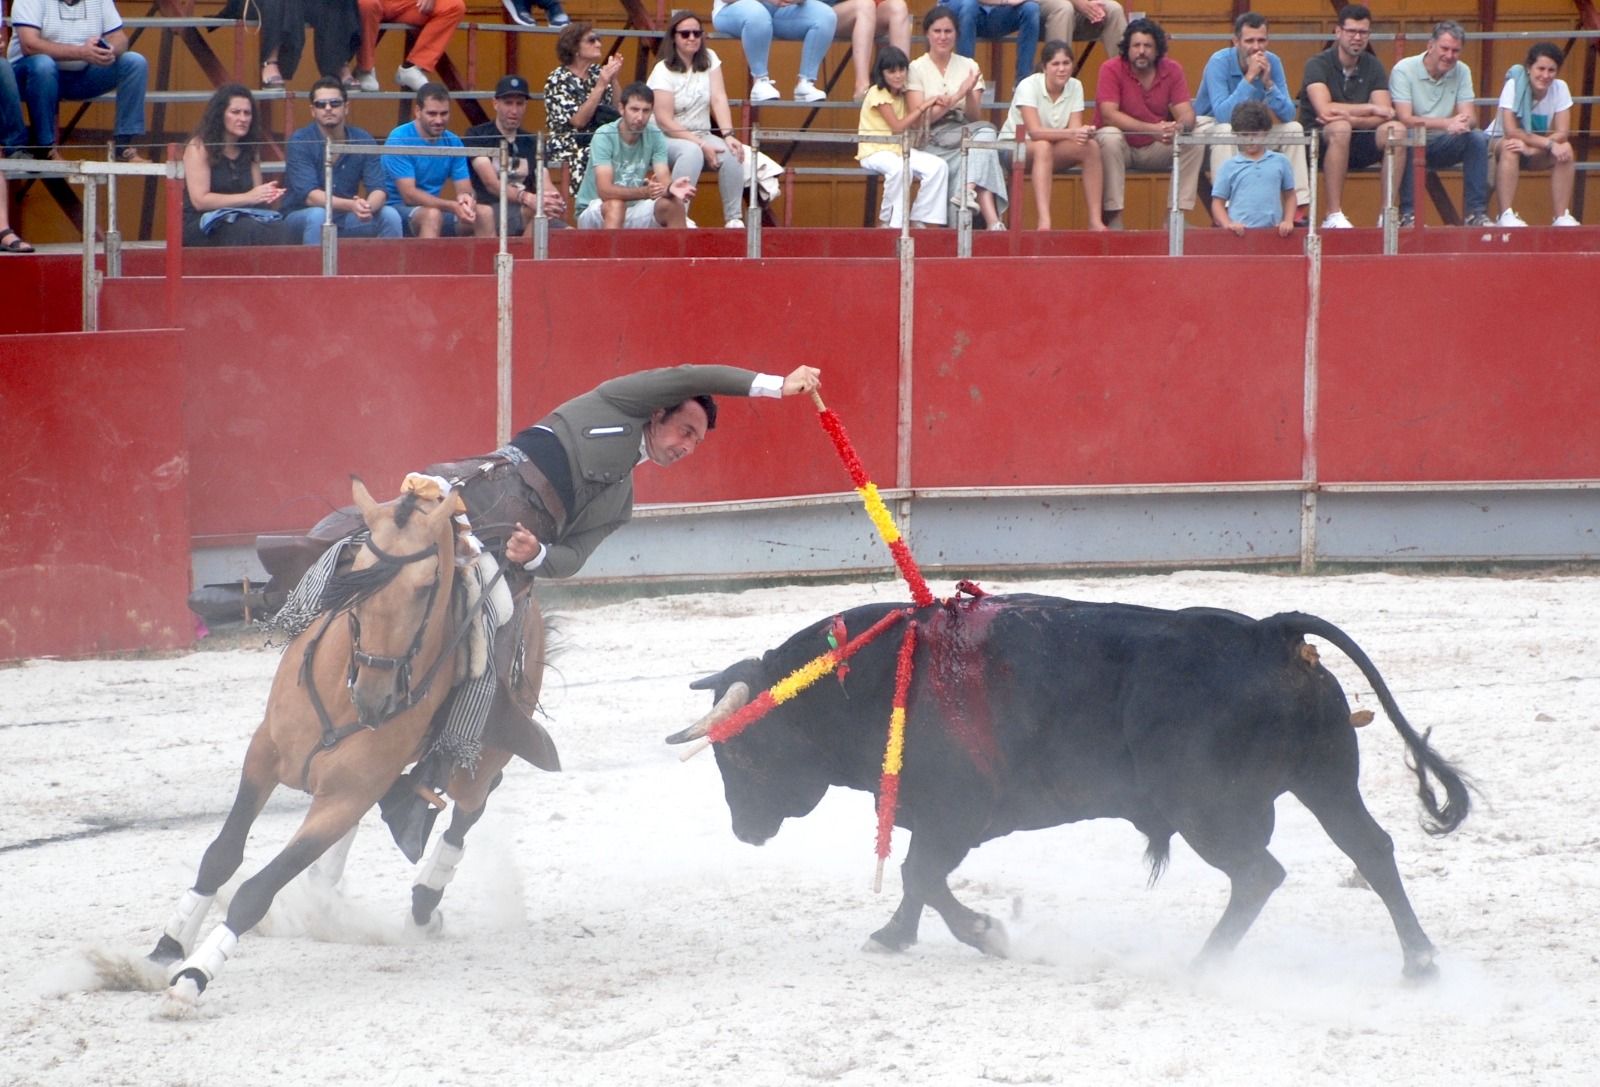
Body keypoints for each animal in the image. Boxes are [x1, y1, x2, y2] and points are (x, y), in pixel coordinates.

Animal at [150, 480, 550, 1005]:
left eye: (427, 586)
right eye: (357, 571)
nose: (375, 695)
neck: (344, 700)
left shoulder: (345, 797)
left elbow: (259, 888)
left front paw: (195, 973)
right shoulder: (263, 753)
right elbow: (222, 853)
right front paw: (170, 943)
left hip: (483, 758)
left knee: (468, 809)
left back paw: (423, 902)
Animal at [668, 592, 1465, 979]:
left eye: (740, 756)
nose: (744, 829)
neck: (873, 677)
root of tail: (1268, 633)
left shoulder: (956, 813)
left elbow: (921, 874)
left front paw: (987, 934)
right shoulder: (935, 817)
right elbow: (916, 880)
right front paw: (895, 936)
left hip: (1211, 810)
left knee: (1260, 873)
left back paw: (1204, 964)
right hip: (1325, 779)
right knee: (1371, 849)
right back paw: (1420, 963)